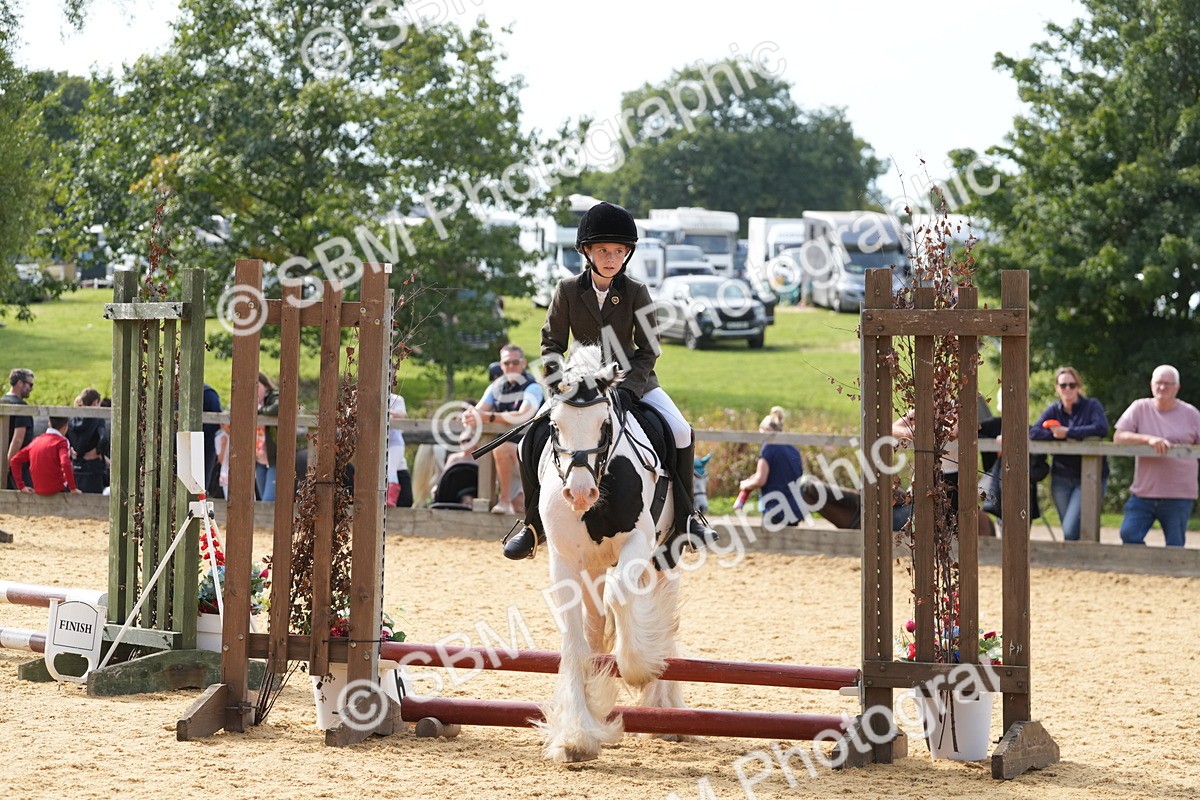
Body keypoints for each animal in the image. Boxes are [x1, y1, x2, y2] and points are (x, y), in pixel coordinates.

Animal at [536, 345, 688, 763]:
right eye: (554, 425)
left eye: (604, 425)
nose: (579, 493)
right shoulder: (564, 561)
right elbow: (574, 637)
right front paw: (576, 734)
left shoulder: (638, 541)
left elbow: (623, 597)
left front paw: (639, 667)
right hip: (593, 569)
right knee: (594, 622)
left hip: (664, 555)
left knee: (659, 611)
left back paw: (664, 706)